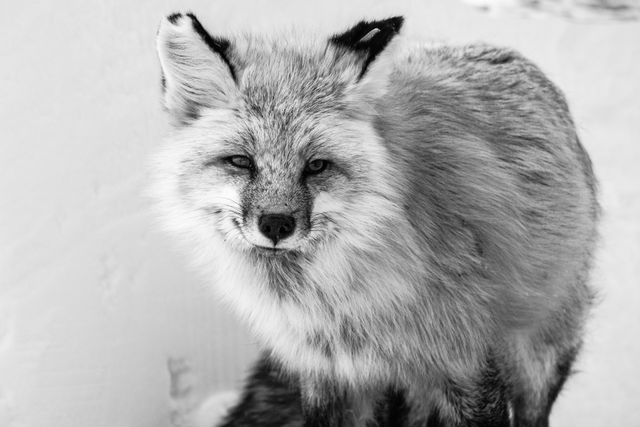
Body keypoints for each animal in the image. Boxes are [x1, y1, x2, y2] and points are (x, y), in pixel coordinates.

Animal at [151, 12, 600, 427]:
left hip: (537, 356)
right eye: (241, 162)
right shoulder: (328, 374)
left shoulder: (467, 362)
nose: (276, 225)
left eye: (316, 166)